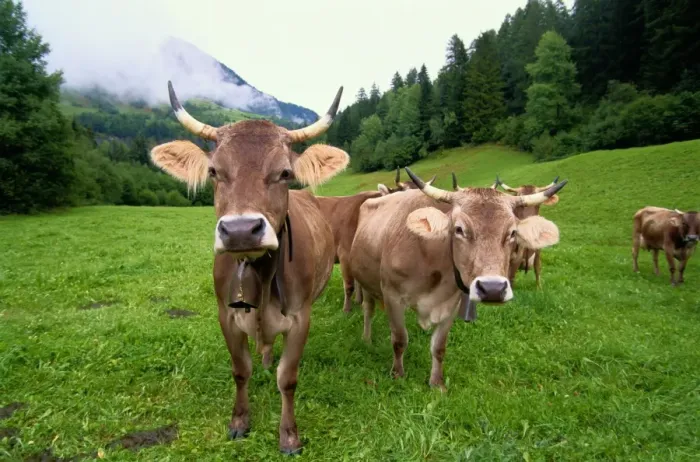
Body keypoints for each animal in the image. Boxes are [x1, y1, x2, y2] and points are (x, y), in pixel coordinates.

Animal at [150, 81, 349, 455]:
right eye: (214, 171)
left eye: (285, 173)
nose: (241, 230)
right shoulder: (225, 315)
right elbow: (241, 370)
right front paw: (240, 421)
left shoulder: (300, 317)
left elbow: (288, 378)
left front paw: (289, 435)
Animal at [349, 168, 567, 390]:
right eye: (459, 229)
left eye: (512, 232)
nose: (493, 289)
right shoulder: (393, 295)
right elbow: (400, 339)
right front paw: (397, 374)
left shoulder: (451, 303)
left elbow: (439, 347)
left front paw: (437, 383)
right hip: (366, 282)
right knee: (368, 309)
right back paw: (366, 338)